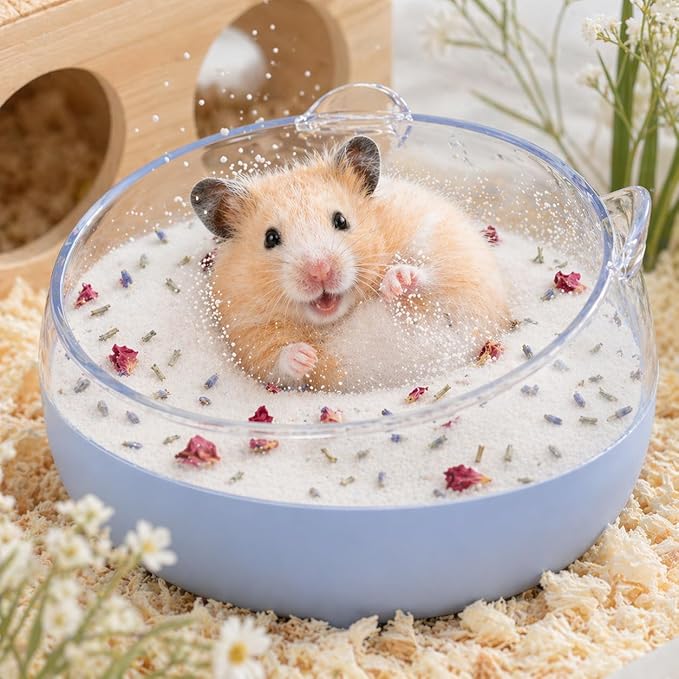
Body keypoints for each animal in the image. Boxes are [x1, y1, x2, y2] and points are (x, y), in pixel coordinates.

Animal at [191, 136, 509, 391]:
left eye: (341, 220)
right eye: (270, 238)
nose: (320, 271)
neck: (341, 314)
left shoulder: (450, 246)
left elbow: (437, 274)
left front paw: (397, 281)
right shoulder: (247, 334)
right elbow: (275, 362)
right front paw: (305, 355)